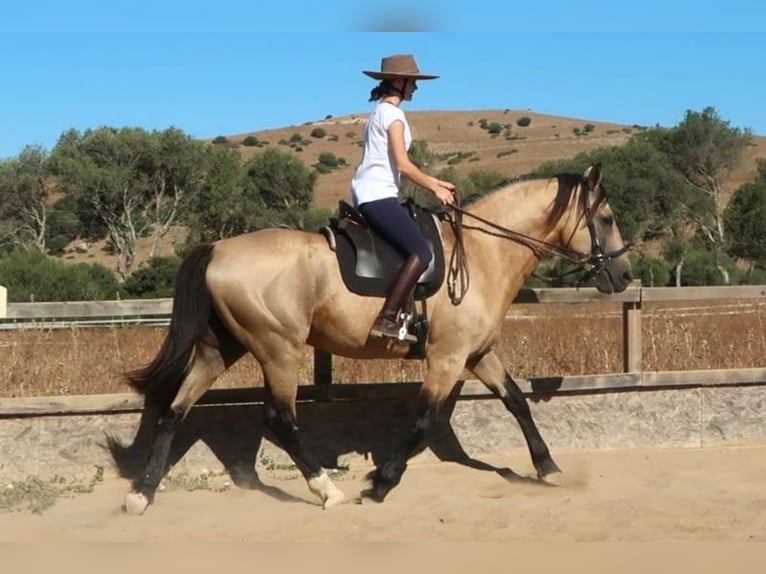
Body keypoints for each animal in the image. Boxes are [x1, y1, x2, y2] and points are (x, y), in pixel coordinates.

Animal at [121, 163, 636, 516]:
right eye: (607, 218)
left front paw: (549, 468)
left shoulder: (478, 354)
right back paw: (327, 490)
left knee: (174, 411)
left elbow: (517, 402)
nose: (625, 276)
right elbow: (425, 421)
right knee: (279, 420)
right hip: (278, 350)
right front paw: (380, 483)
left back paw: (141, 494)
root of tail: (218, 248)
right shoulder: (447, 358)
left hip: (220, 349)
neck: (483, 254)